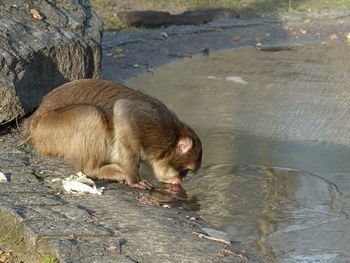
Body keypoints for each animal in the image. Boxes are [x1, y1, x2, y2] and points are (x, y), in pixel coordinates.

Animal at [21, 79, 202, 190]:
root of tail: (33, 123)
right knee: (91, 114)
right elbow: (123, 111)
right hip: (48, 130)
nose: (181, 180)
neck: (171, 137)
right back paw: (97, 170)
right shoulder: (154, 129)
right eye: (185, 170)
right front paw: (134, 179)